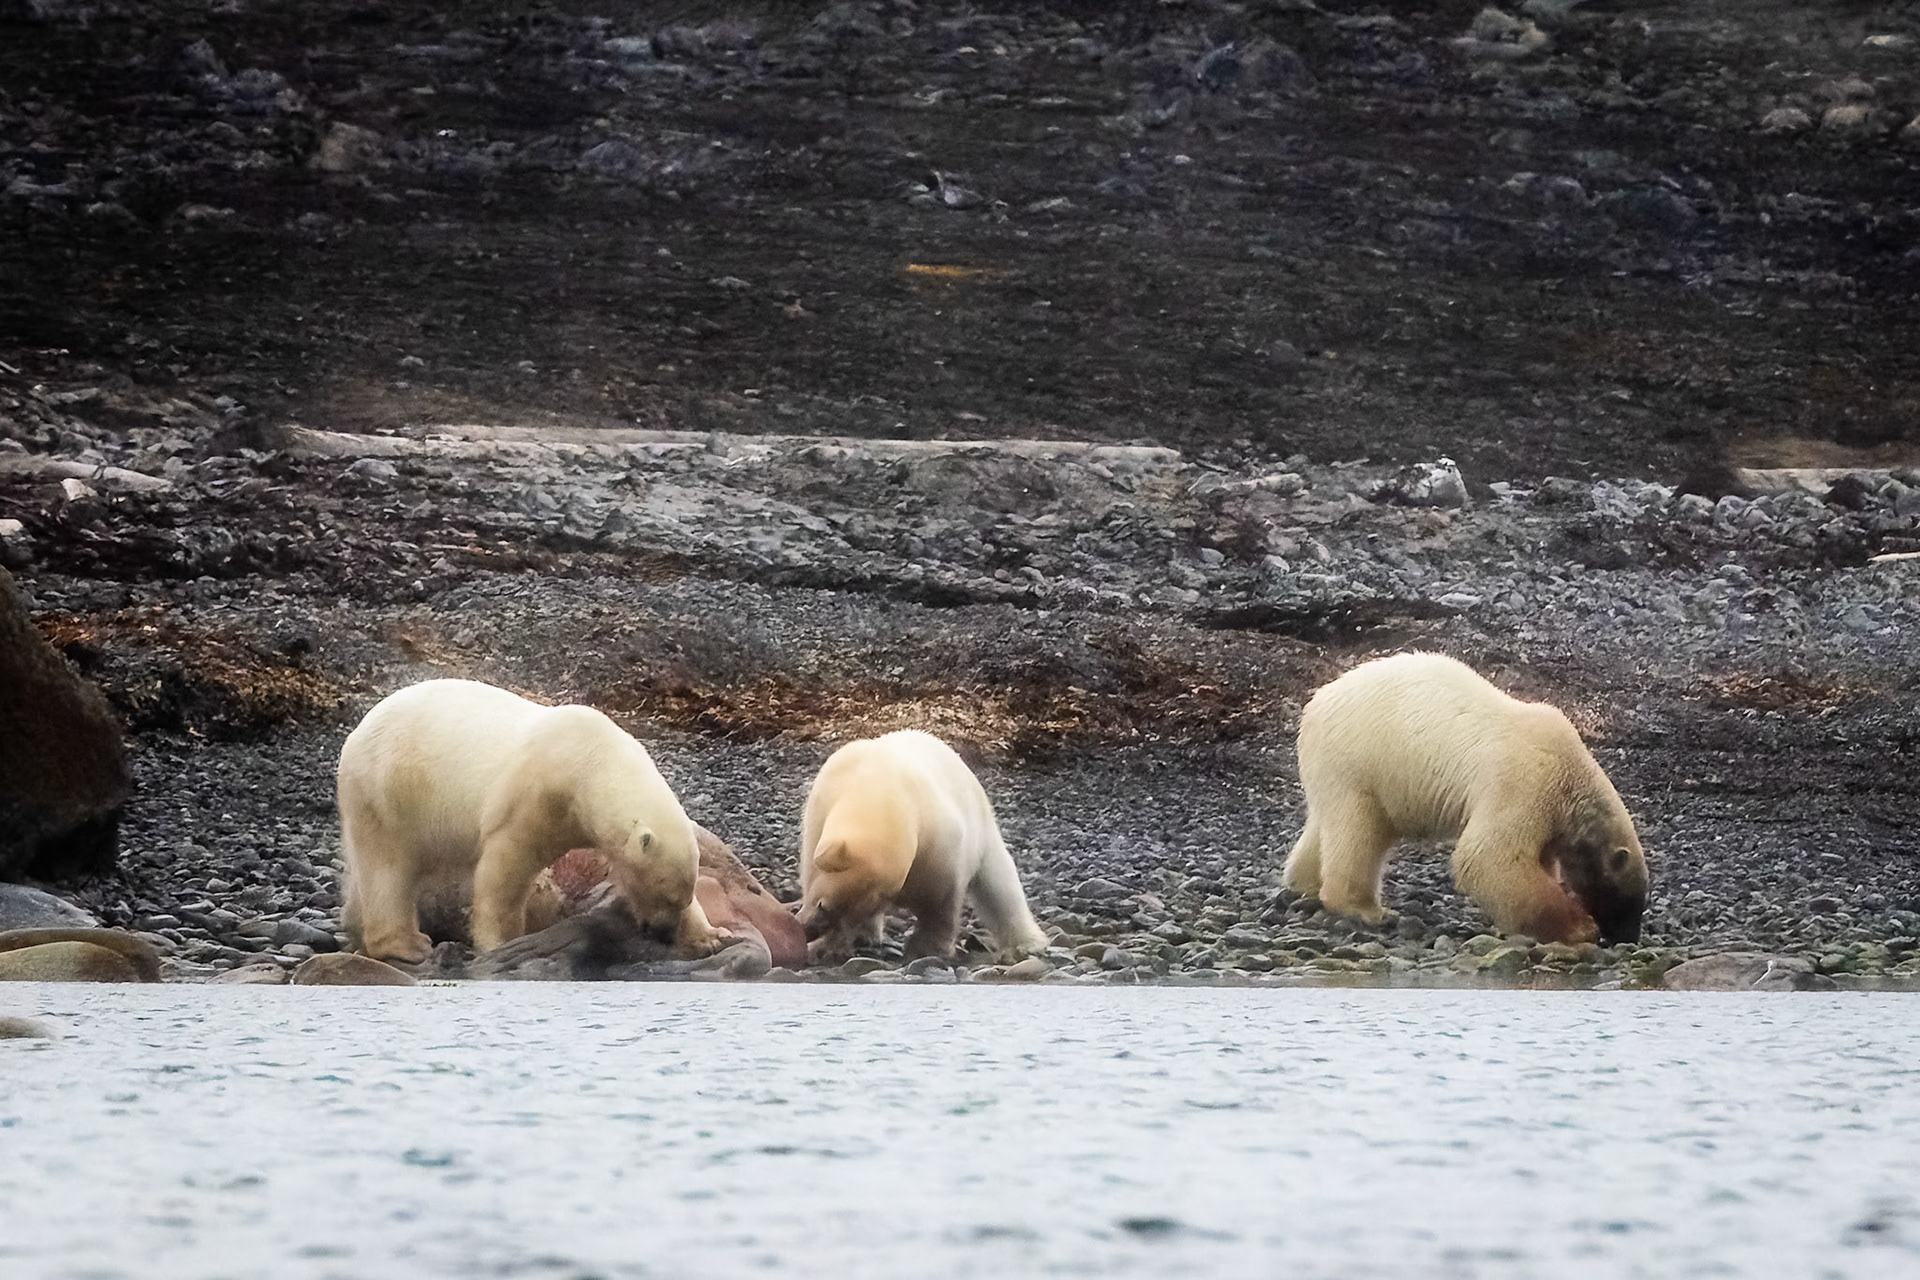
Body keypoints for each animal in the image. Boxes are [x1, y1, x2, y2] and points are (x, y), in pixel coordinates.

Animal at [336, 678, 723, 964]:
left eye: (682, 897)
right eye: (663, 894)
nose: (662, 932)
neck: (592, 762)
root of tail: (357, 732)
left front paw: (711, 937)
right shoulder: (536, 794)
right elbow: (505, 867)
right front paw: (503, 943)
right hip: (388, 790)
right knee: (388, 867)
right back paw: (407, 944)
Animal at [797, 729, 1050, 966]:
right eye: (823, 904)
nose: (807, 930)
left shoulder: (937, 843)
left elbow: (940, 900)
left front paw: (926, 950)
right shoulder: (821, 806)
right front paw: (828, 947)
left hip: (982, 827)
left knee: (1001, 886)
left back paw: (1029, 944)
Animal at [1283, 652, 1647, 945]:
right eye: (1628, 900)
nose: (1628, 937)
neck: (1571, 773)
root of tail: (1314, 706)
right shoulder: (1525, 782)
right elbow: (1489, 855)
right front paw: (1580, 929)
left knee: (1330, 823)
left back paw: (1303, 884)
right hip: (1360, 759)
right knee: (1359, 829)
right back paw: (1366, 909)